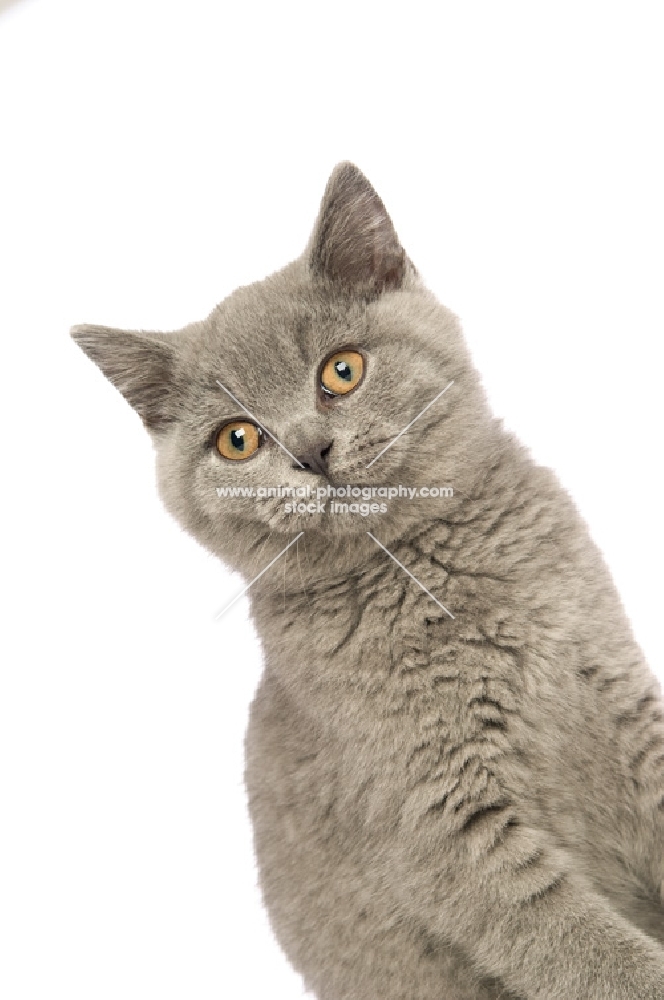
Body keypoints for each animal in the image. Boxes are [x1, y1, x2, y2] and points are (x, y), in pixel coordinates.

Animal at [72, 160, 664, 996]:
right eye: (238, 439)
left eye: (342, 371)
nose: (310, 451)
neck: (442, 574)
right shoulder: (441, 821)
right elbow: (585, 952)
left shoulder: (620, 692)